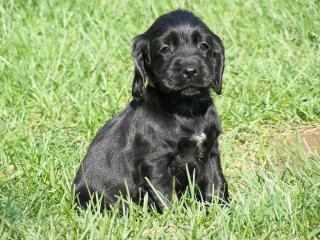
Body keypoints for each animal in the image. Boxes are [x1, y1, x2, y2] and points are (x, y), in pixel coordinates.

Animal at [73, 8, 228, 212]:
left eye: (203, 46)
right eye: (165, 49)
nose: (190, 70)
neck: (186, 108)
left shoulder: (210, 150)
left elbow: (216, 182)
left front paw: (222, 210)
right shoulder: (155, 162)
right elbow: (165, 194)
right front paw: (175, 216)